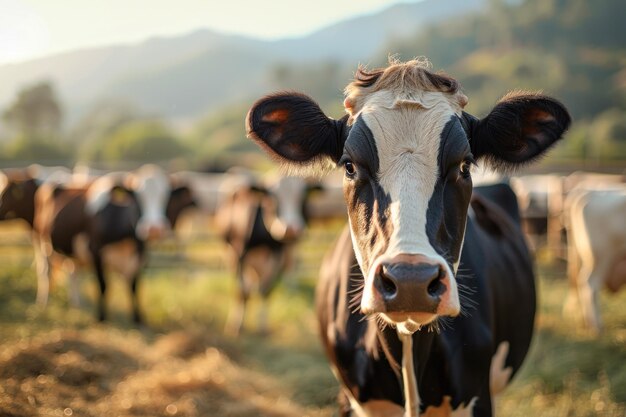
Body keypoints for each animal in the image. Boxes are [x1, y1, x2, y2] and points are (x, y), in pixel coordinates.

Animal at [216, 170, 322, 334]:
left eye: (302, 198)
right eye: (272, 198)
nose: (290, 230)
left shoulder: (277, 257)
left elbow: (266, 290)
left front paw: (262, 325)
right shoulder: (239, 254)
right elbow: (241, 292)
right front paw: (236, 325)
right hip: (231, 253)